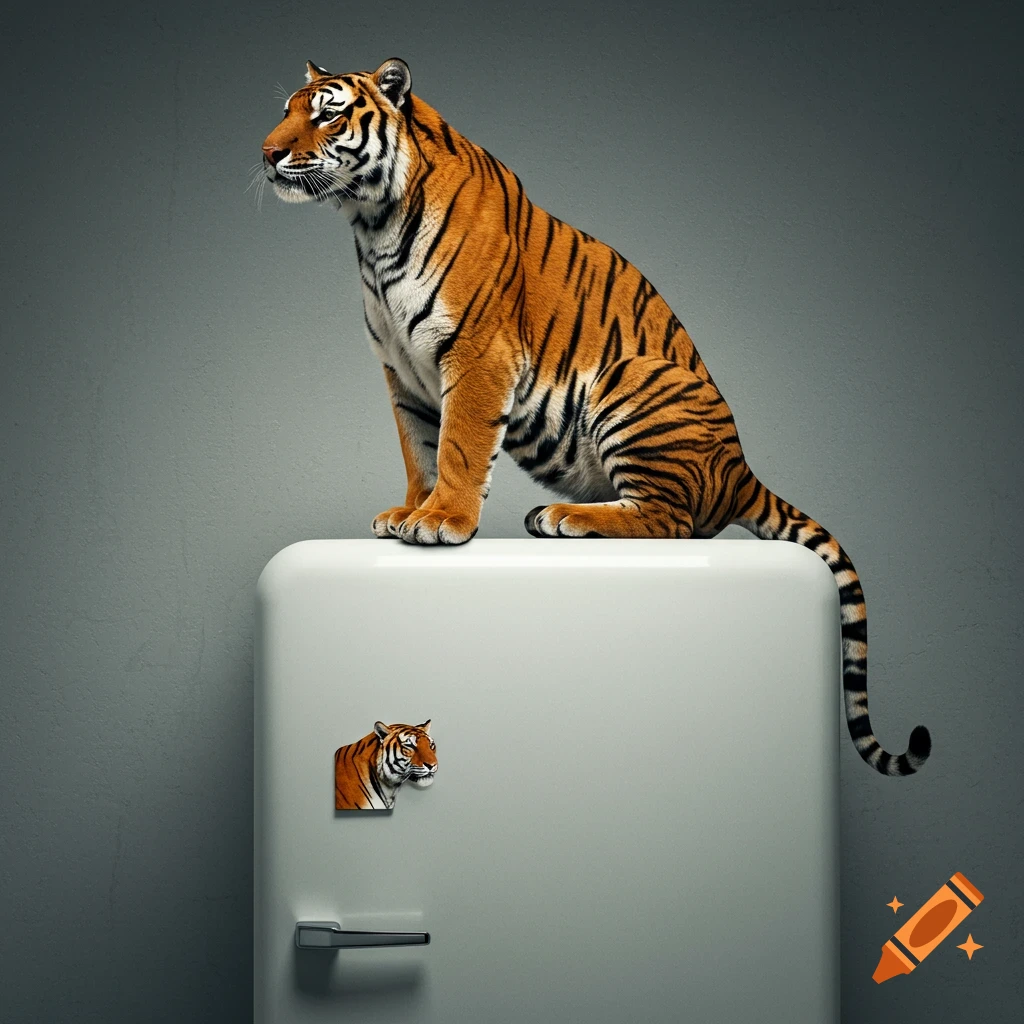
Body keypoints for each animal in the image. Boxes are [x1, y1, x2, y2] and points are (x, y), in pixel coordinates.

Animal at [261, 58, 931, 778]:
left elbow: (459, 447)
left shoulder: (477, 353)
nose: (267, 153)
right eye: (286, 110)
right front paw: (410, 511)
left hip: (632, 381)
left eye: (328, 114)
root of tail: (741, 469)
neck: (372, 223)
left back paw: (562, 517)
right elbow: (420, 450)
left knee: (672, 522)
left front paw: (442, 522)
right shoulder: (401, 371)